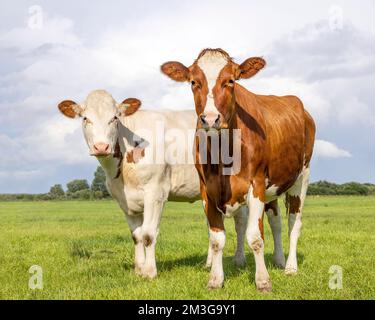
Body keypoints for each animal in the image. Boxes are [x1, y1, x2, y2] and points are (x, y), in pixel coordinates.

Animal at [57, 89, 248, 278]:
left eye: (114, 118)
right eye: (85, 118)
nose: (101, 147)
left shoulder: (155, 193)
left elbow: (148, 234)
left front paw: (149, 272)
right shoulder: (124, 200)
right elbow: (137, 236)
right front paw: (139, 269)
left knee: (240, 223)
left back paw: (239, 260)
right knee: (213, 225)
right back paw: (209, 264)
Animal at [162, 48, 318, 292]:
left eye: (230, 81)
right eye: (193, 82)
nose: (210, 119)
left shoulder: (256, 184)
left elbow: (255, 237)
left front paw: (263, 281)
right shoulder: (207, 189)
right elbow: (217, 238)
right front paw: (216, 279)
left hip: (302, 176)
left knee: (294, 222)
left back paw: (291, 267)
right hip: (273, 188)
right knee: (275, 222)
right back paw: (278, 259)